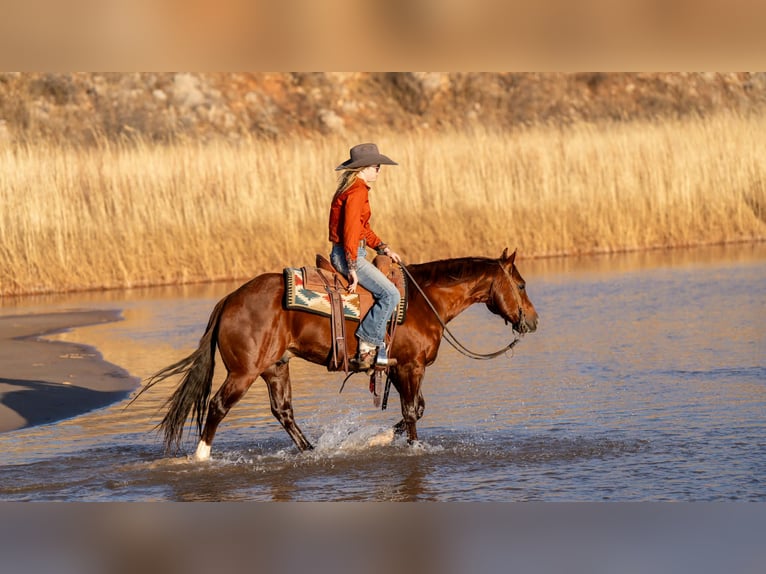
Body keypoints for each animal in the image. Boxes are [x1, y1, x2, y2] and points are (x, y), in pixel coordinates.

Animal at [138, 248, 538, 460]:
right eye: (520, 285)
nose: (532, 321)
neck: (425, 301)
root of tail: (229, 299)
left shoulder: (396, 367)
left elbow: (416, 409)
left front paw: (376, 439)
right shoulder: (410, 367)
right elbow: (412, 412)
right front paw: (410, 447)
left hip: (275, 366)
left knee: (283, 411)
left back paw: (313, 451)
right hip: (243, 372)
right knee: (219, 406)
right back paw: (202, 456)